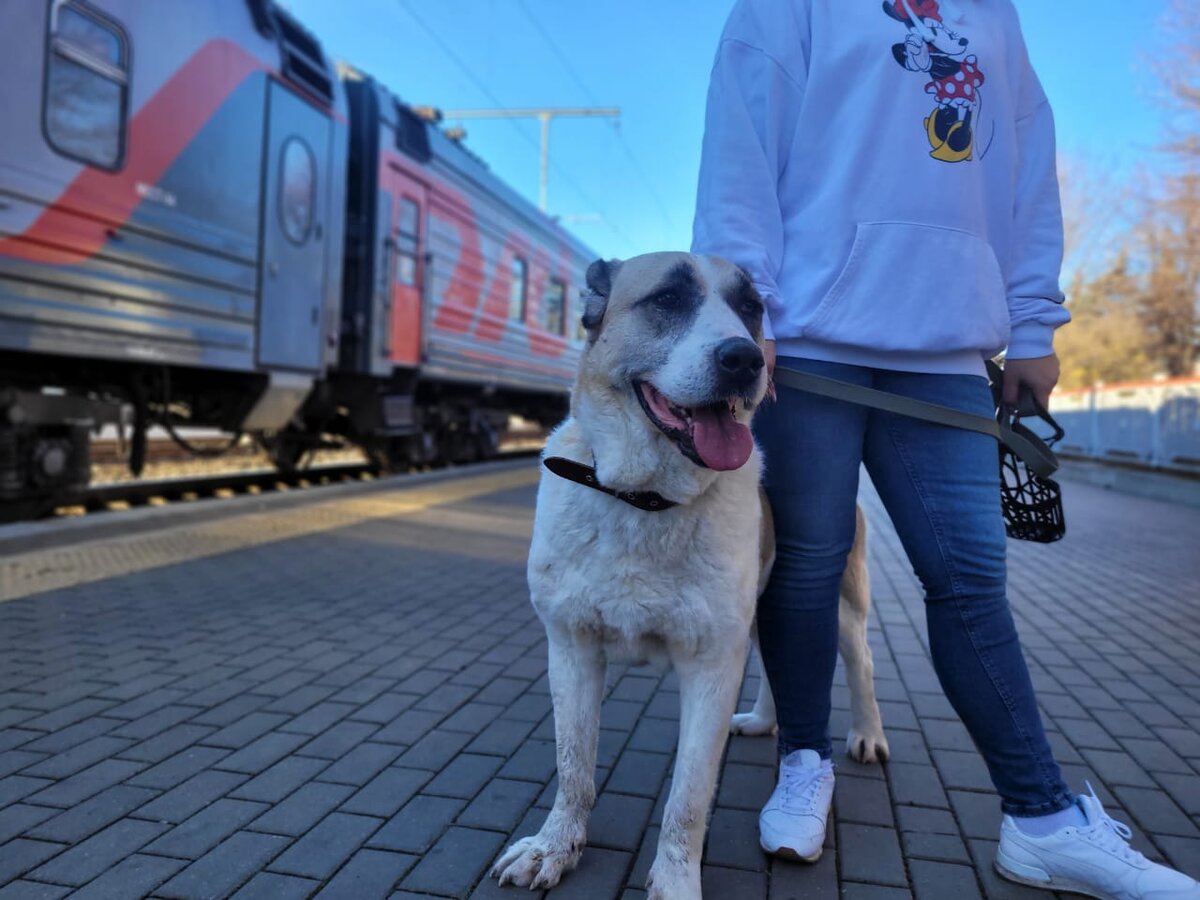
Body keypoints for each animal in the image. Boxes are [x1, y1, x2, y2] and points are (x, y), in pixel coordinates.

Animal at [489, 254, 892, 900]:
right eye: (669, 299)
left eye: (751, 308)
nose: (746, 360)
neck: (645, 500)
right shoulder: (571, 649)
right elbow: (574, 765)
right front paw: (556, 846)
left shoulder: (710, 665)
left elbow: (689, 795)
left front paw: (676, 880)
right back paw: (762, 721)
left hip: (841, 607)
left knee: (863, 666)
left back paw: (868, 735)